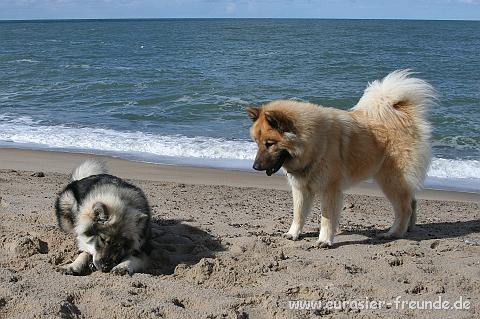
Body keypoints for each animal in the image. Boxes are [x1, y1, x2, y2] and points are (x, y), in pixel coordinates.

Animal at [248, 70, 436, 248]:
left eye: (270, 143)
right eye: (257, 142)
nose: (255, 166)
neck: (316, 144)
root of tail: (401, 113)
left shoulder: (330, 190)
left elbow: (326, 218)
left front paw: (324, 240)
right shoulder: (301, 189)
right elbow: (298, 215)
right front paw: (293, 234)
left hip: (391, 180)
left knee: (404, 209)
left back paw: (393, 233)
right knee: (412, 202)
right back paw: (407, 229)